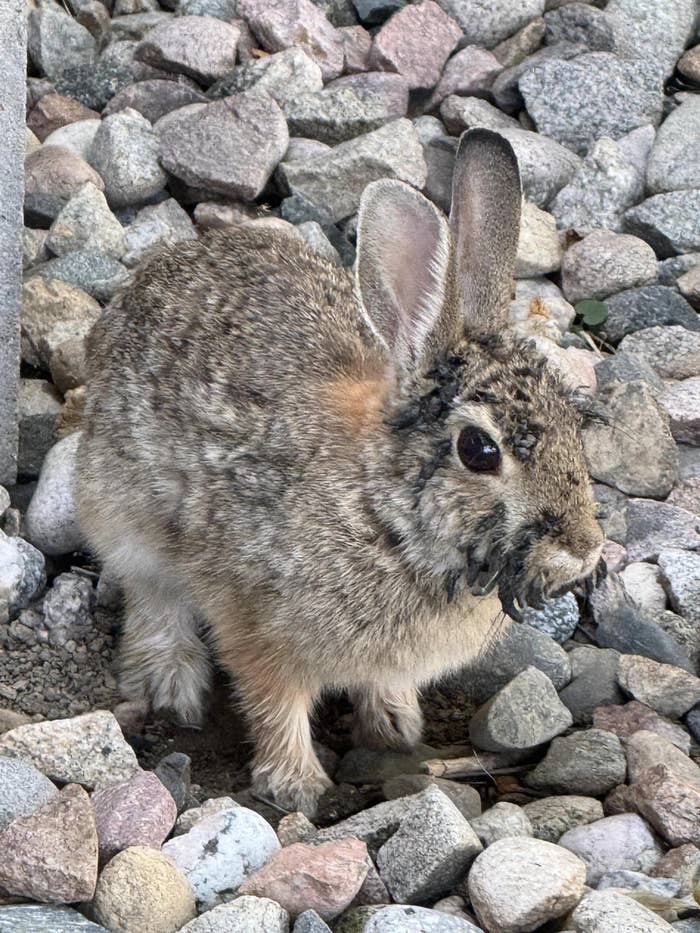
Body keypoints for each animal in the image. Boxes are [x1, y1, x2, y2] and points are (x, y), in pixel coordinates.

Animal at [76, 128, 604, 815]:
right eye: (479, 451)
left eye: (574, 425)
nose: (586, 549)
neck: (387, 517)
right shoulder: (260, 628)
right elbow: (275, 704)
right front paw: (296, 785)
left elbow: (382, 688)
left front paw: (397, 730)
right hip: (127, 517)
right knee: (153, 597)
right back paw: (172, 684)